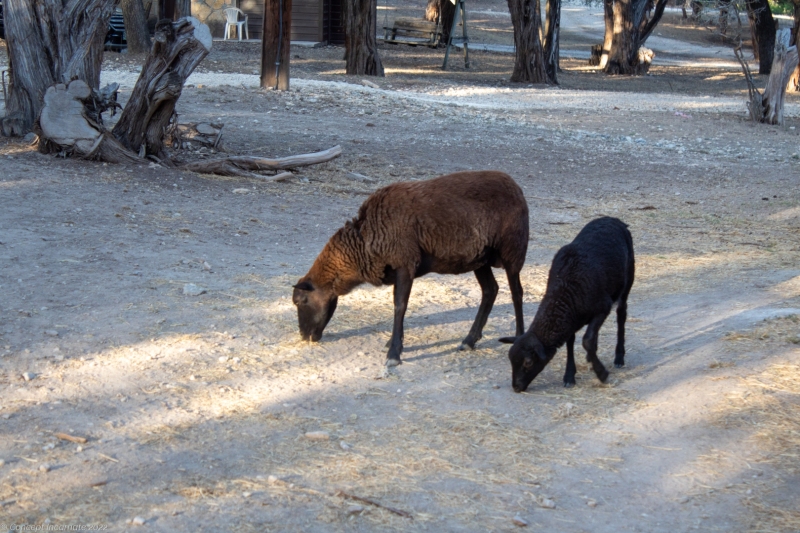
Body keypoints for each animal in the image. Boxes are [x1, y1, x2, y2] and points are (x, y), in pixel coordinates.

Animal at [293, 171, 529, 366]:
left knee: (517, 293)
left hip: (512, 250)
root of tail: (515, 186)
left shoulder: (405, 263)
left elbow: (400, 306)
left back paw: (518, 337)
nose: (304, 336)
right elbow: (398, 304)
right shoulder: (398, 268)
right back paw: (469, 340)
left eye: (301, 301)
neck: (363, 243)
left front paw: (394, 354)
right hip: (480, 258)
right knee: (490, 291)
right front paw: (392, 343)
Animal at [500, 217, 634, 391]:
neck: (564, 294)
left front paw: (602, 373)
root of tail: (612, 219)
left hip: (627, 279)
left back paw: (619, 357)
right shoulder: (571, 319)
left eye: (528, 362)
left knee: (621, 314)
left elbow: (587, 340)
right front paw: (569, 375)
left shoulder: (602, 308)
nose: (516, 387)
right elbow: (571, 342)